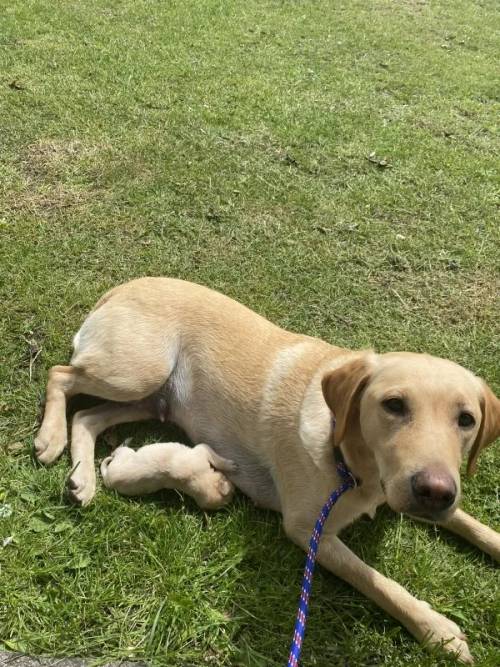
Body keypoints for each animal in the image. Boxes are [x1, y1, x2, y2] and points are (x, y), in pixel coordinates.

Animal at [36, 276, 500, 664]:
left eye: (466, 419)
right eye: (394, 405)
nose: (434, 492)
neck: (351, 462)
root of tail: (125, 285)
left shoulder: (413, 490)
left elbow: (472, 524)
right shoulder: (309, 530)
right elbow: (380, 583)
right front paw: (438, 630)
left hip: (149, 399)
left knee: (87, 417)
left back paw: (82, 478)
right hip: (136, 373)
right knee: (60, 375)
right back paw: (51, 437)